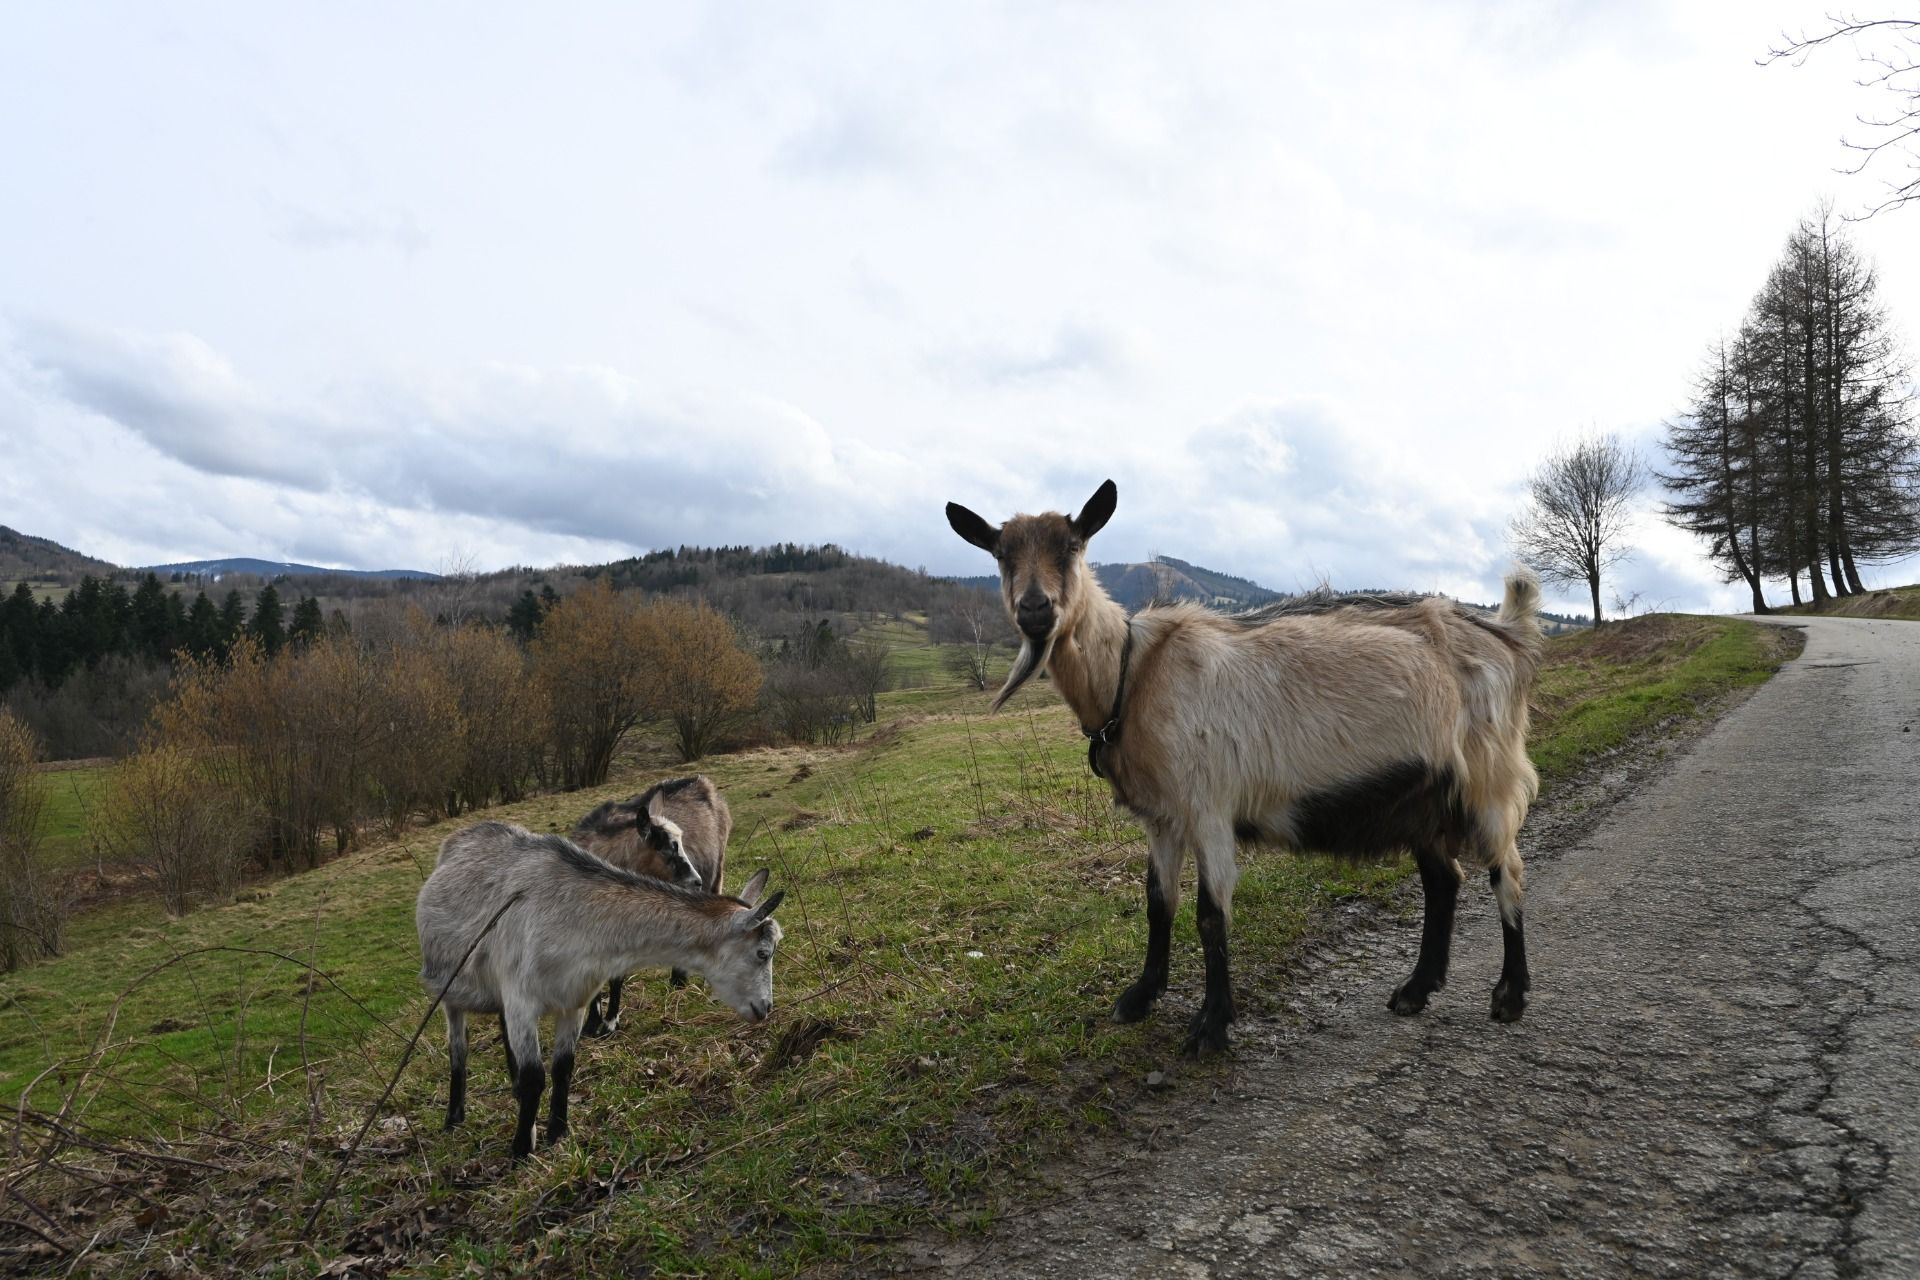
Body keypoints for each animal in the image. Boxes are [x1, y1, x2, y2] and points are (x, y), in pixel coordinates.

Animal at [416, 821, 783, 1159]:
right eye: (762, 953)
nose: (765, 1008)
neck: (577, 920)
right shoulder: (522, 999)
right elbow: (536, 1075)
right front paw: (520, 1149)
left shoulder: (574, 1001)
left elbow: (563, 1067)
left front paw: (557, 1132)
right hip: (450, 985)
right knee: (458, 1045)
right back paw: (454, 1116)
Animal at [568, 775, 733, 1036]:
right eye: (666, 847)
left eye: (680, 843)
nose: (695, 881)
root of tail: (702, 781)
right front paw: (591, 1024)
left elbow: (617, 975)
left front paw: (610, 1022)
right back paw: (678, 981)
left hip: (718, 872)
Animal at [944, 477, 1543, 1051]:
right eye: (1001, 553)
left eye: (1071, 546)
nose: (1035, 608)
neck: (1131, 676)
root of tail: (1507, 637)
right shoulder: (1162, 816)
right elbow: (1158, 901)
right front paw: (1141, 996)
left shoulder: (1209, 806)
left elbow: (1211, 915)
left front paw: (1211, 1025)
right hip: (1425, 793)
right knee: (1444, 879)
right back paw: (1415, 989)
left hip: (1489, 772)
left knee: (1507, 870)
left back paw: (1510, 996)